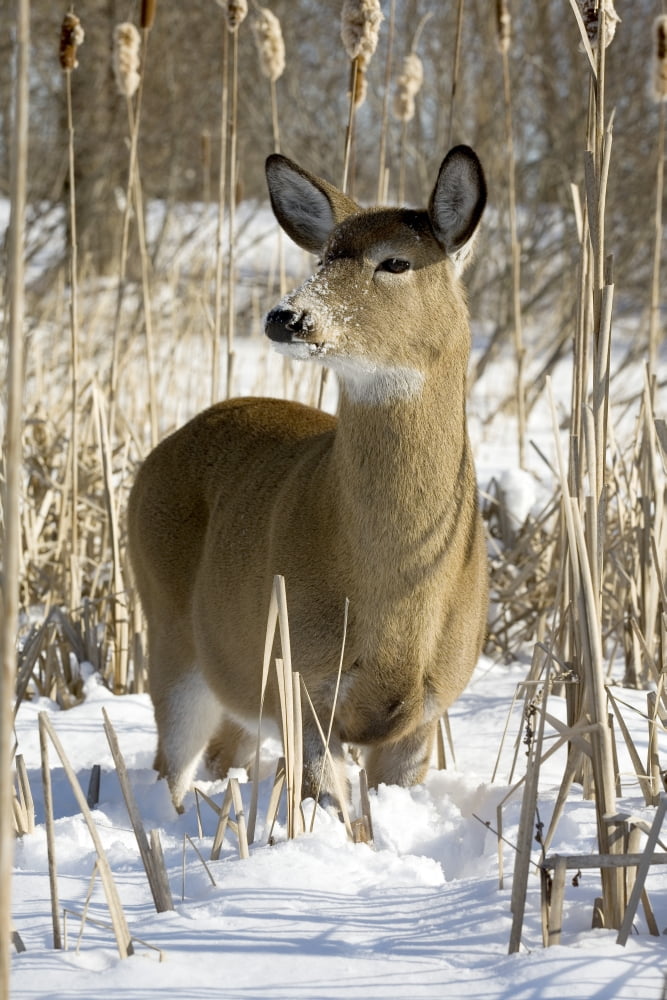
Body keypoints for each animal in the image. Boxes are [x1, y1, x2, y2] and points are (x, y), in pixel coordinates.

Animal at [127, 145, 489, 814]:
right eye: (323, 257)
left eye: (395, 261)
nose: (287, 316)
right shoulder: (304, 685)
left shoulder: (426, 714)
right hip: (170, 633)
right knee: (171, 764)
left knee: (222, 754)